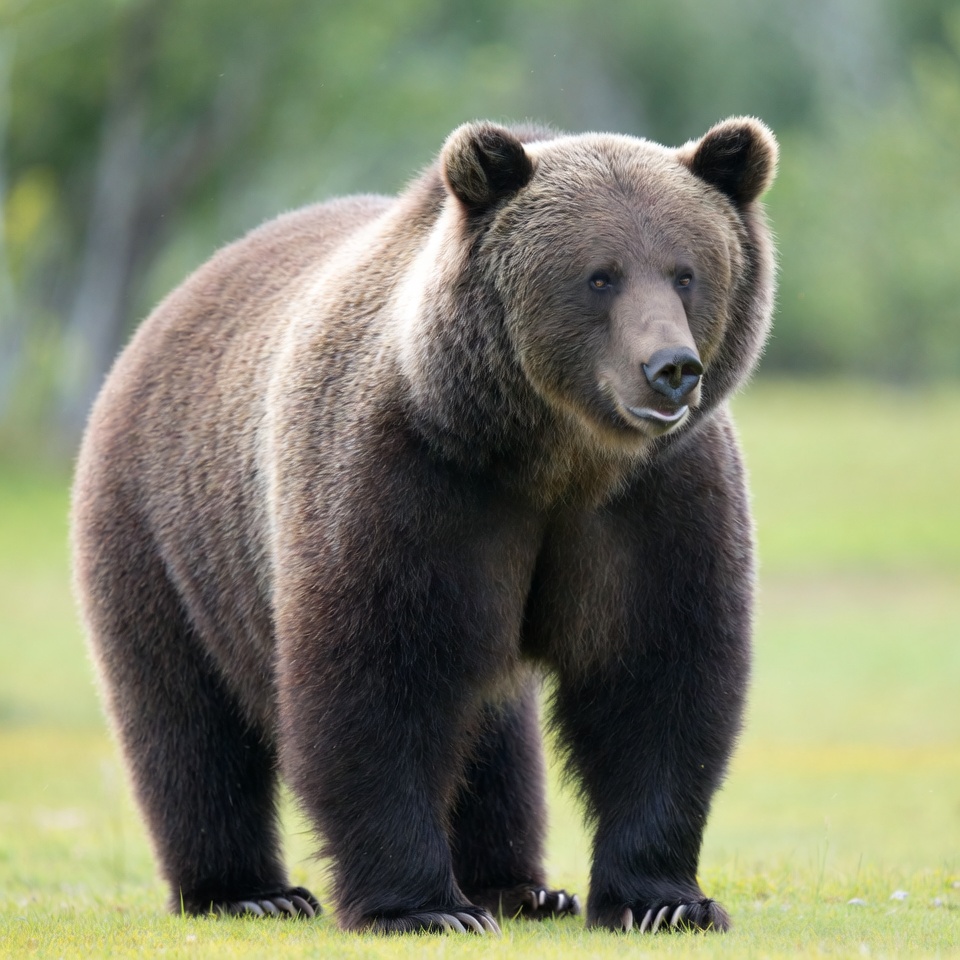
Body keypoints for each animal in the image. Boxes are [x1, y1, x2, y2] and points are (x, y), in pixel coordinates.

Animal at [71, 115, 777, 935]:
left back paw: (522, 888)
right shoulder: (407, 483)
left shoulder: (654, 501)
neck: (548, 456)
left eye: (685, 271)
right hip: (165, 533)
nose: (670, 368)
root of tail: (166, 308)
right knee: (186, 724)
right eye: (600, 275)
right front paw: (424, 908)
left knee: (493, 732)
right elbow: (377, 682)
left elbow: (658, 676)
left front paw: (664, 900)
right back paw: (248, 889)